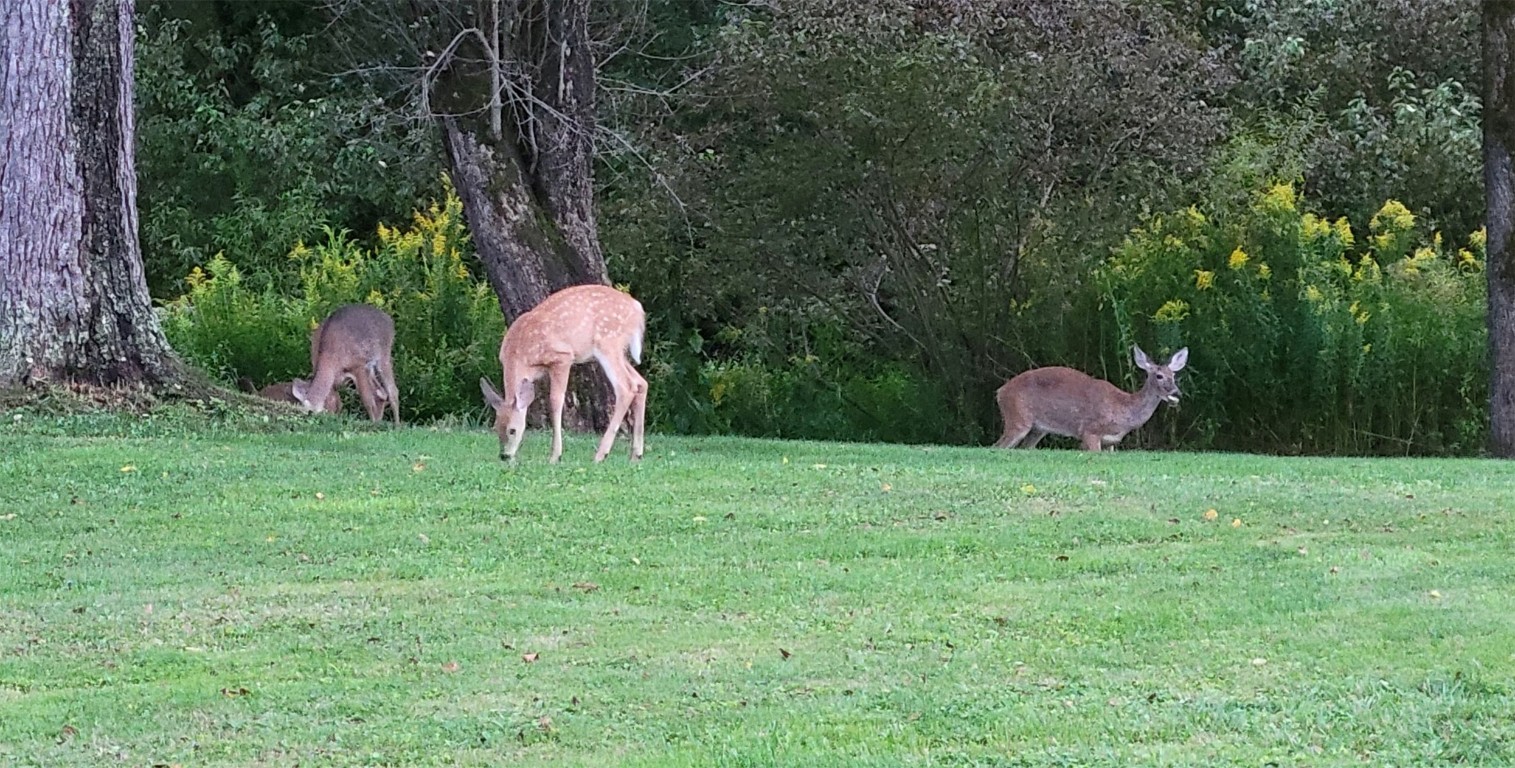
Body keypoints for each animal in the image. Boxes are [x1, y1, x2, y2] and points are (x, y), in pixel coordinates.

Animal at [481, 283, 648, 463]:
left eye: (512, 430)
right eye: (496, 428)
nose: (504, 455)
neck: (519, 355)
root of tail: (637, 308)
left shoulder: (562, 358)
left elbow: (555, 401)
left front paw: (555, 455)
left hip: (608, 342)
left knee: (626, 387)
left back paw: (600, 455)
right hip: (617, 350)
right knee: (641, 382)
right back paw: (636, 455)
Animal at [993, 346, 1193, 451]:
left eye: (1174, 375)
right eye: (1159, 376)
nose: (1176, 393)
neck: (1123, 409)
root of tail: (1000, 392)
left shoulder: (1110, 442)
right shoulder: (1089, 431)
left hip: (1037, 430)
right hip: (1017, 418)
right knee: (997, 446)